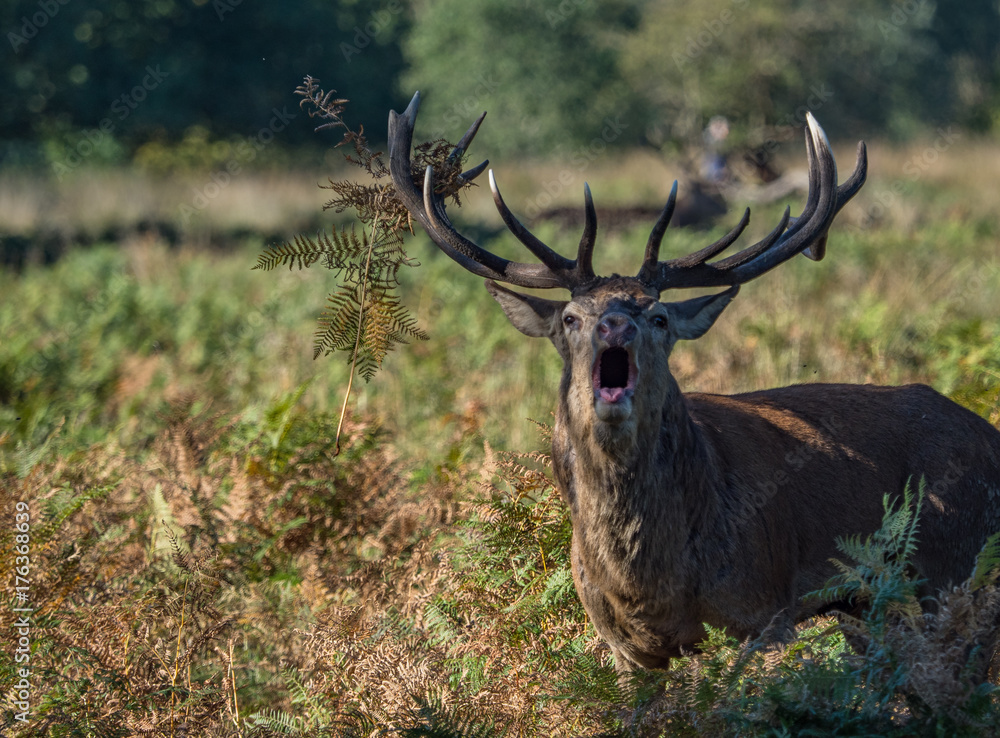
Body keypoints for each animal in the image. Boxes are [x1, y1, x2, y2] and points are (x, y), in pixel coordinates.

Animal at [387, 92, 1000, 673]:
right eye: (571, 317)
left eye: (658, 316)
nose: (616, 323)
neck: (646, 583)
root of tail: (989, 434)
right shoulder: (623, 646)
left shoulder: (762, 612)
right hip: (873, 607)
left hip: (953, 565)